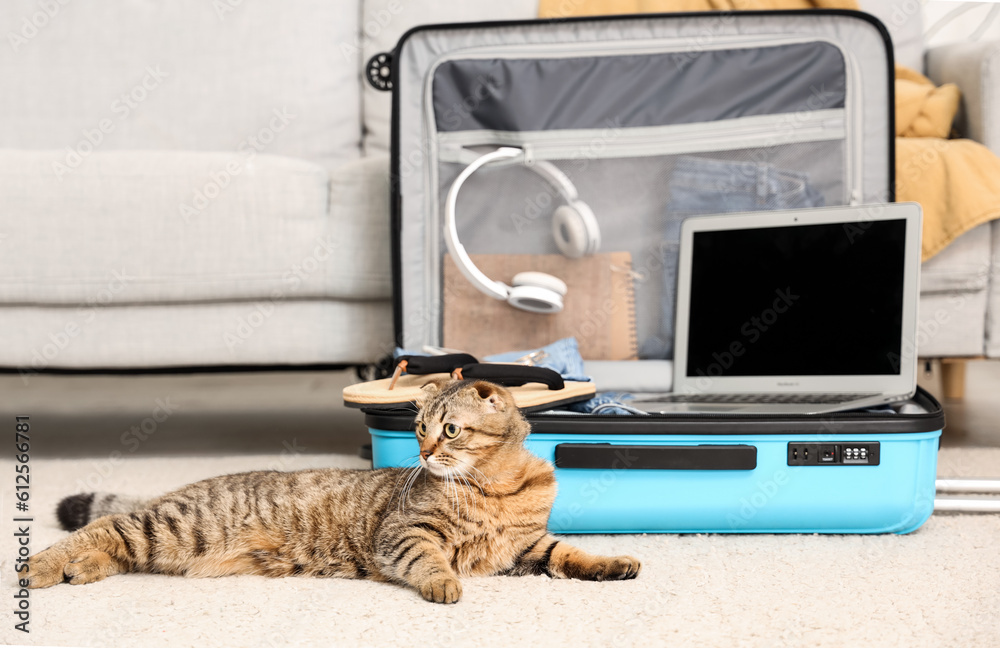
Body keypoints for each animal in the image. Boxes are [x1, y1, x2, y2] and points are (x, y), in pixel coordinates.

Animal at [31, 380, 644, 604]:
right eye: (418, 429)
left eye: (449, 430)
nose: (423, 454)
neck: (497, 485)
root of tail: (184, 486)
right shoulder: (405, 533)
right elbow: (431, 561)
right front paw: (445, 583)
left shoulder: (527, 547)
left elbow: (572, 554)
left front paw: (614, 563)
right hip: (176, 527)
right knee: (101, 527)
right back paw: (42, 566)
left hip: (164, 542)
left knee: (113, 546)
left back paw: (81, 571)